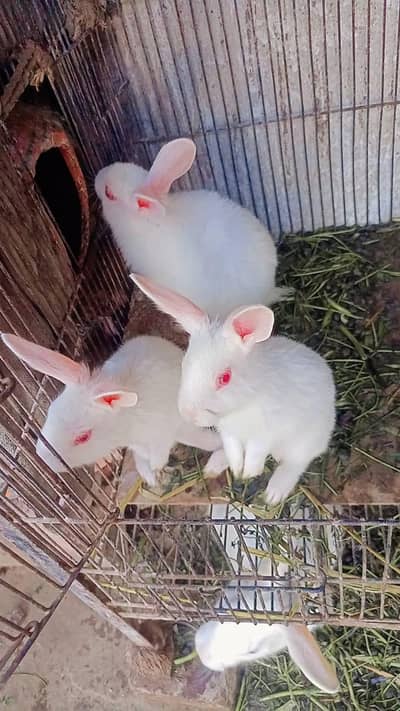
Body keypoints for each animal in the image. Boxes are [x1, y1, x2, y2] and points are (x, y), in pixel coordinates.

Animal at [1, 333, 225, 487]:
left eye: (83, 437)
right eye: (50, 411)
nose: (44, 459)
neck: (126, 422)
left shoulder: (161, 435)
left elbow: (159, 453)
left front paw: (158, 469)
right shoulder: (141, 442)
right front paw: (154, 474)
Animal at [130, 275, 336, 504]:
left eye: (225, 378)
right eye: (185, 364)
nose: (188, 414)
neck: (241, 404)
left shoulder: (265, 433)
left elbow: (256, 452)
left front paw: (250, 473)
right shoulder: (229, 434)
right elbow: (234, 450)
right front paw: (238, 470)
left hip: (305, 441)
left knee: (295, 463)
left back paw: (274, 494)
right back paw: (214, 467)